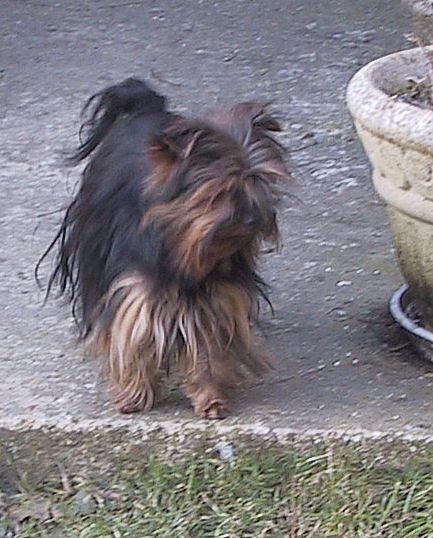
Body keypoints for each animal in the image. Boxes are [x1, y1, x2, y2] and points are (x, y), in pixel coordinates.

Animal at [42, 77, 288, 416]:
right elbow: (130, 334)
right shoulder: (134, 290)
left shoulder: (215, 298)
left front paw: (210, 398)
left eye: (260, 182)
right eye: (222, 190)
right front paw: (134, 395)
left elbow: (208, 347)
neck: (185, 248)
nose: (255, 219)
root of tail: (145, 109)